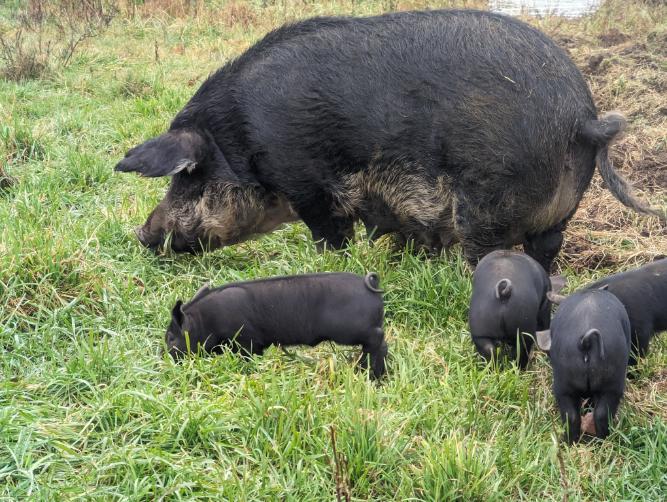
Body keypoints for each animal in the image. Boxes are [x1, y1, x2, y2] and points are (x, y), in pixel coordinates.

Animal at [115, 10, 663, 270]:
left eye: (187, 177)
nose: (142, 233)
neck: (241, 136)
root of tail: (584, 116)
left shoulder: (308, 184)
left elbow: (330, 238)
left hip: (488, 203)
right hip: (559, 215)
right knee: (546, 252)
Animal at [165, 272, 388, 378]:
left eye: (170, 338)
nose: (164, 357)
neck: (205, 321)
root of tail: (371, 285)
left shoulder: (247, 340)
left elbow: (248, 357)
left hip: (349, 330)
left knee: (378, 338)